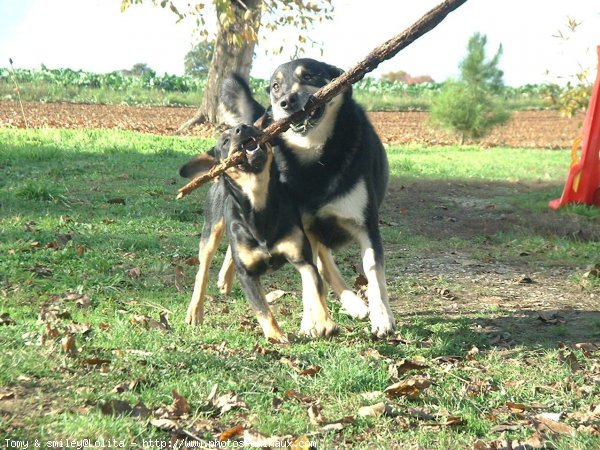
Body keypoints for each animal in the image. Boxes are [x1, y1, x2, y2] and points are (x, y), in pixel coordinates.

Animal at [178, 122, 338, 342]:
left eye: (251, 126)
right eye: (225, 141)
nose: (242, 127)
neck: (259, 203)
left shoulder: (303, 260)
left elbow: (315, 289)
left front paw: (324, 323)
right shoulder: (247, 276)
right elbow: (262, 309)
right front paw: (276, 336)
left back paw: (225, 280)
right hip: (212, 228)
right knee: (203, 270)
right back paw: (195, 311)